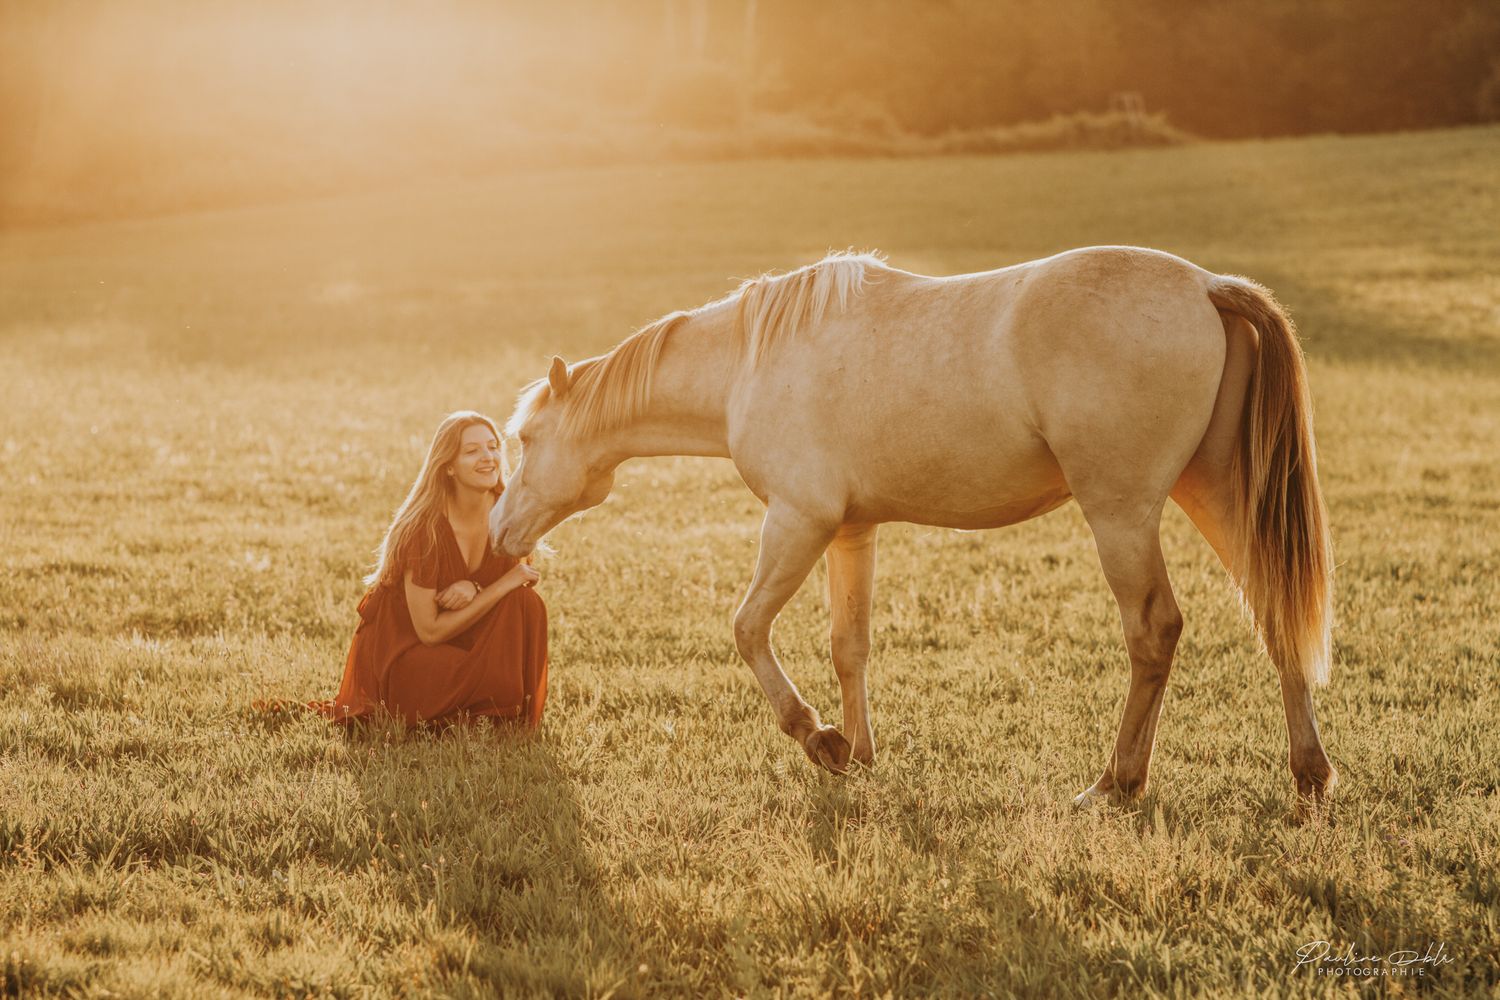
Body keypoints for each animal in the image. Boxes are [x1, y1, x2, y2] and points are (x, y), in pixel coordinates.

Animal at [491, 247, 1336, 806]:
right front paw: (860, 754)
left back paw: (1116, 783)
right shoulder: (848, 532)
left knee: (1154, 631)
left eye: (526, 438)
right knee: (1276, 612)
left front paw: (820, 740)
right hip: (1220, 496)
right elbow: (849, 646)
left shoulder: (797, 522)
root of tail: (1207, 286)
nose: (499, 533)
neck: (749, 365)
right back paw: (1309, 772)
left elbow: (748, 628)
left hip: (1121, 516)